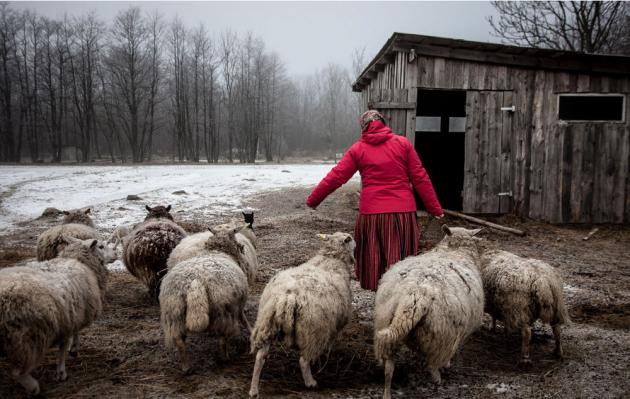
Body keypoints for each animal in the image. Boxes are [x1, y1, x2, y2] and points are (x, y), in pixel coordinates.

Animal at [0, 236, 116, 396]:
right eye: (101, 246)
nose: (116, 255)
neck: (78, 261)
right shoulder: (69, 317)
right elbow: (64, 345)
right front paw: (62, 370)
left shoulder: (71, 313)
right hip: (24, 337)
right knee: (17, 372)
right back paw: (33, 387)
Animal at [160, 228, 252, 376]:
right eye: (236, 242)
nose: (243, 248)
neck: (216, 251)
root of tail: (195, 281)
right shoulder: (237, 305)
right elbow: (242, 316)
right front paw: (250, 329)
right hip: (223, 311)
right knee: (222, 338)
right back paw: (225, 358)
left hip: (174, 314)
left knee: (179, 341)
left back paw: (186, 368)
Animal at [249, 231, 356, 396]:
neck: (331, 259)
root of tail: (288, 297)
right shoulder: (334, 326)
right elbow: (330, 343)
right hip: (313, 331)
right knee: (304, 360)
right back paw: (311, 382)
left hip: (267, 324)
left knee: (260, 357)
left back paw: (254, 390)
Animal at [372, 227, 486, 398]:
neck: (454, 251)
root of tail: (416, 293)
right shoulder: (457, 336)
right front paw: (448, 364)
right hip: (442, 335)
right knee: (432, 365)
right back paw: (438, 379)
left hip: (386, 321)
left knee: (389, 369)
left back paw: (387, 393)